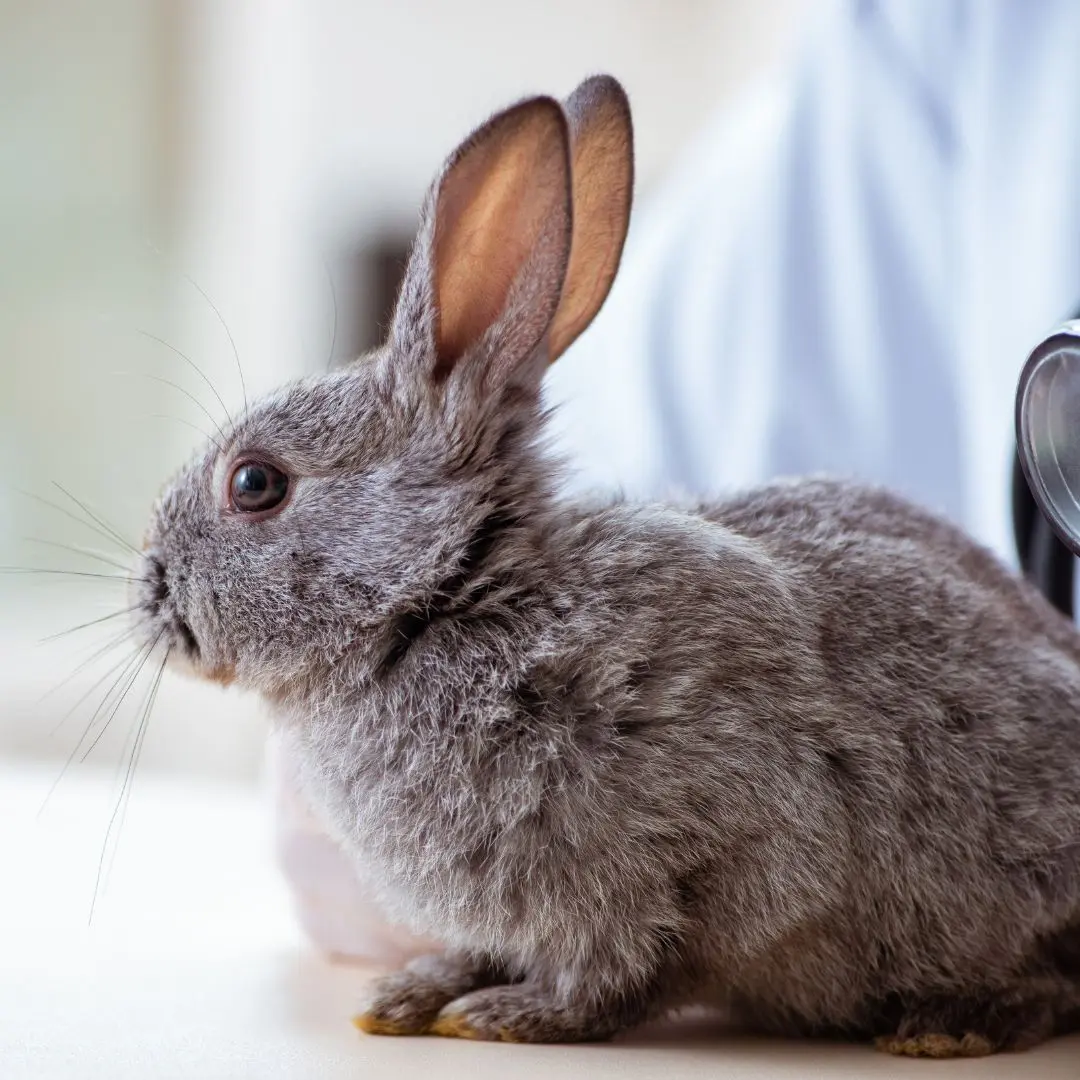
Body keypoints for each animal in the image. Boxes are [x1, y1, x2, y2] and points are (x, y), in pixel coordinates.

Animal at [134, 74, 1080, 1057]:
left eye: (255, 483)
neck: (444, 599)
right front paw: (413, 991)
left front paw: (510, 1016)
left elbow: (627, 969)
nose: (149, 592)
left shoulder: (694, 854)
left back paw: (950, 1024)